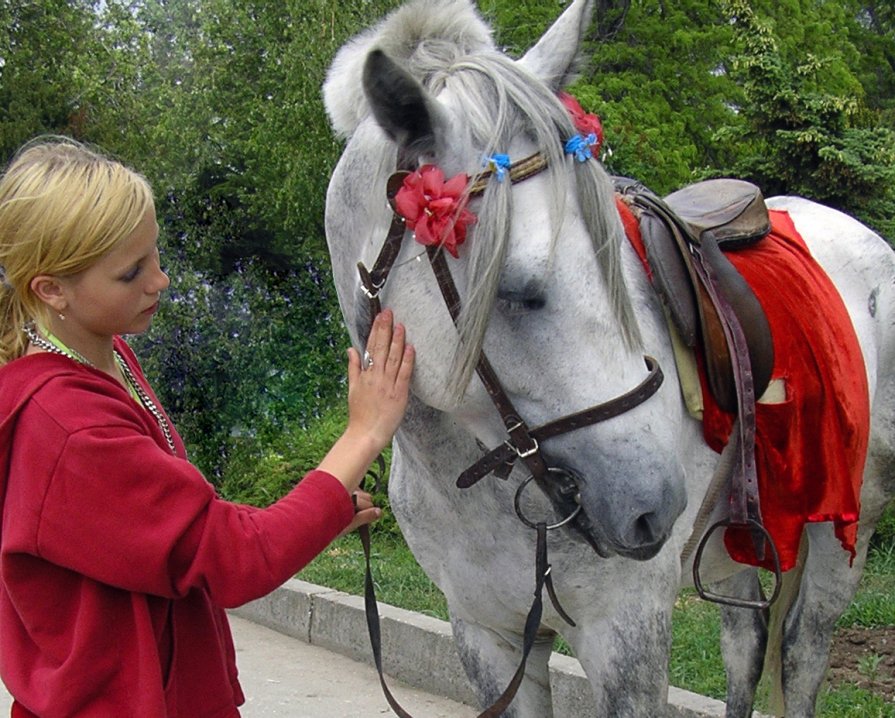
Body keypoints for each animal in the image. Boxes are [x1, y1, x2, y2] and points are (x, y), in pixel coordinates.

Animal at [322, 2, 895, 716]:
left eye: (616, 263)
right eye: (514, 290)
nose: (655, 506)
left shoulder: (626, 639)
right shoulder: (488, 638)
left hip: (846, 532)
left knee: (801, 653)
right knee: (746, 641)